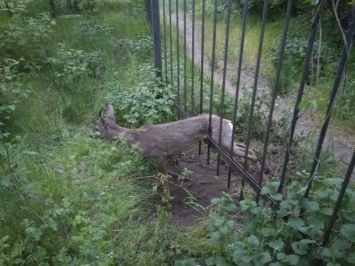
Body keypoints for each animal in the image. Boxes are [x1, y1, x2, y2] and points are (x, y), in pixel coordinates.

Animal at [92, 103, 262, 201]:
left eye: (96, 128)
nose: (90, 135)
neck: (138, 139)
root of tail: (228, 121)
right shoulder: (157, 158)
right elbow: (158, 177)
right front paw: (155, 189)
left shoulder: (161, 155)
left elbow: (164, 178)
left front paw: (166, 200)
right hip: (221, 140)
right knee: (245, 147)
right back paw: (252, 167)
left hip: (222, 141)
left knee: (246, 151)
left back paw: (255, 168)